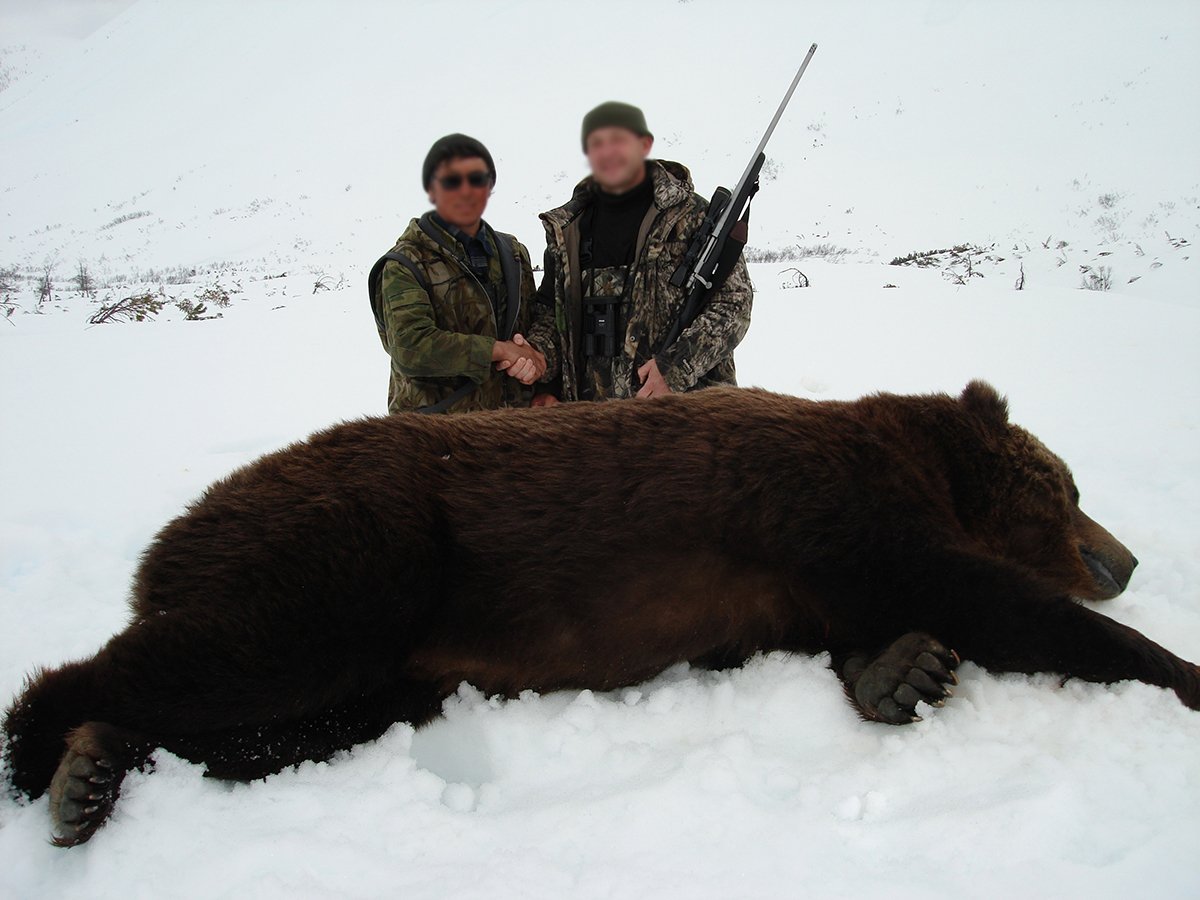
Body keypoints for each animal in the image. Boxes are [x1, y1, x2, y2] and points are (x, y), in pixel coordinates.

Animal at [3, 381, 1198, 847]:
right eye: (1068, 486)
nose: (1127, 556)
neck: (917, 458)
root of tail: (164, 545)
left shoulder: (794, 582)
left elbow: (871, 628)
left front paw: (904, 670)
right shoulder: (831, 502)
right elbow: (987, 596)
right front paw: (1179, 670)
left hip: (398, 663)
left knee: (293, 720)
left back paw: (100, 764)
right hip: (362, 545)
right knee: (228, 652)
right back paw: (56, 753)